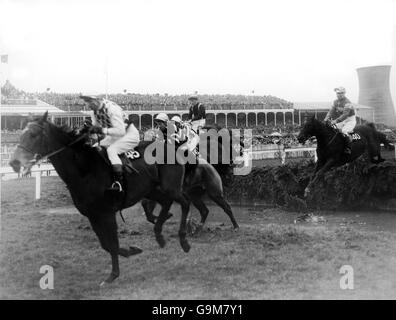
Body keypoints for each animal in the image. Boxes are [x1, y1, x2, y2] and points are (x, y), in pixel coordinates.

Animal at [8, 112, 192, 284]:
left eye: (33, 134)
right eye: (22, 134)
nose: (14, 163)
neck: (85, 170)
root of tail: (173, 147)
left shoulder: (107, 213)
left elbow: (112, 243)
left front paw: (113, 274)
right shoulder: (92, 214)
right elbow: (105, 244)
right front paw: (131, 251)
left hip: (170, 187)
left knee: (184, 203)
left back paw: (183, 240)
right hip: (151, 190)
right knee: (165, 203)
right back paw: (159, 234)